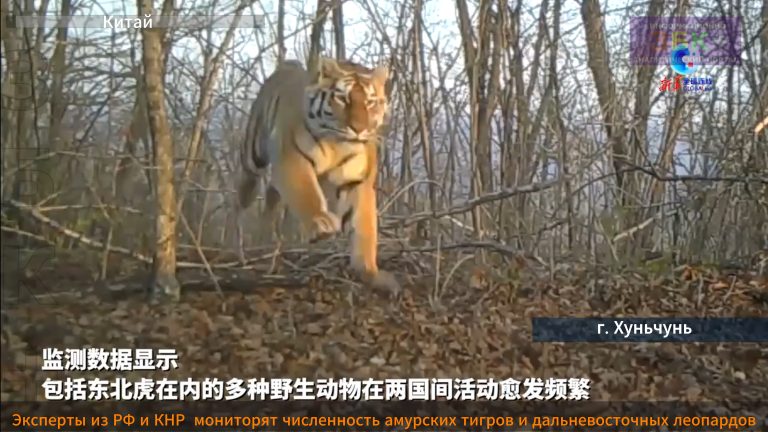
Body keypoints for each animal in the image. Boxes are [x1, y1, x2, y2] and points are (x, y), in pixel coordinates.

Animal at [235, 56, 399, 292]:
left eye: (370, 102)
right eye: (343, 98)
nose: (359, 129)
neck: (336, 144)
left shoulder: (357, 181)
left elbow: (364, 227)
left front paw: (371, 273)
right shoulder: (292, 160)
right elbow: (307, 195)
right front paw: (321, 223)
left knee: (271, 200)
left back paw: (268, 244)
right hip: (253, 157)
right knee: (243, 197)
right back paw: (242, 249)